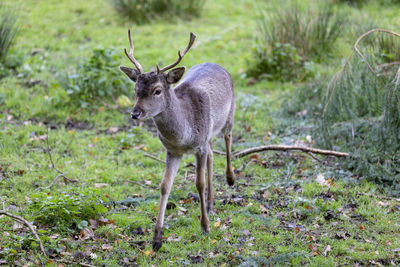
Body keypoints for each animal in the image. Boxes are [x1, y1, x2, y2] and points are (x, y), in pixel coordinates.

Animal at [120, 29, 236, 251]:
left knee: (227, 138)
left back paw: (230, 178)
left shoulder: (199, 146)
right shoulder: (172, 150)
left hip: (230, 114)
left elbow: (199, 183)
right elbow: (165, 186)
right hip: (208, 134)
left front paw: (205, 227)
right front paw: (157, 239)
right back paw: (210, 202)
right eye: (135, 89)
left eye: (157, 90)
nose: (135, 113)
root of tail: (217, 64)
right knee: (212, 154)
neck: (184, 136)